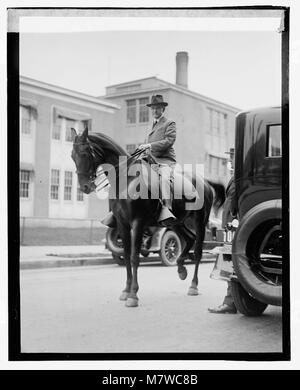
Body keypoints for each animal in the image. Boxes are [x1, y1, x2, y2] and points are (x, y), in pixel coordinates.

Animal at [71, 128, 225, 308]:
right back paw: (181, 268)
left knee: (199, 251)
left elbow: (134, 257)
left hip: (200, 220)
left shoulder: (138, 223)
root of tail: (204, 182)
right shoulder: (123, 224)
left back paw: (193, 285)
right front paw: (126, 290)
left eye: (85, 153)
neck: (126, 180)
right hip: (177, 222)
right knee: (189, 239)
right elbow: (126, 255)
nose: (85, 187)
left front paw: (133, 295)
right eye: (72, 156)